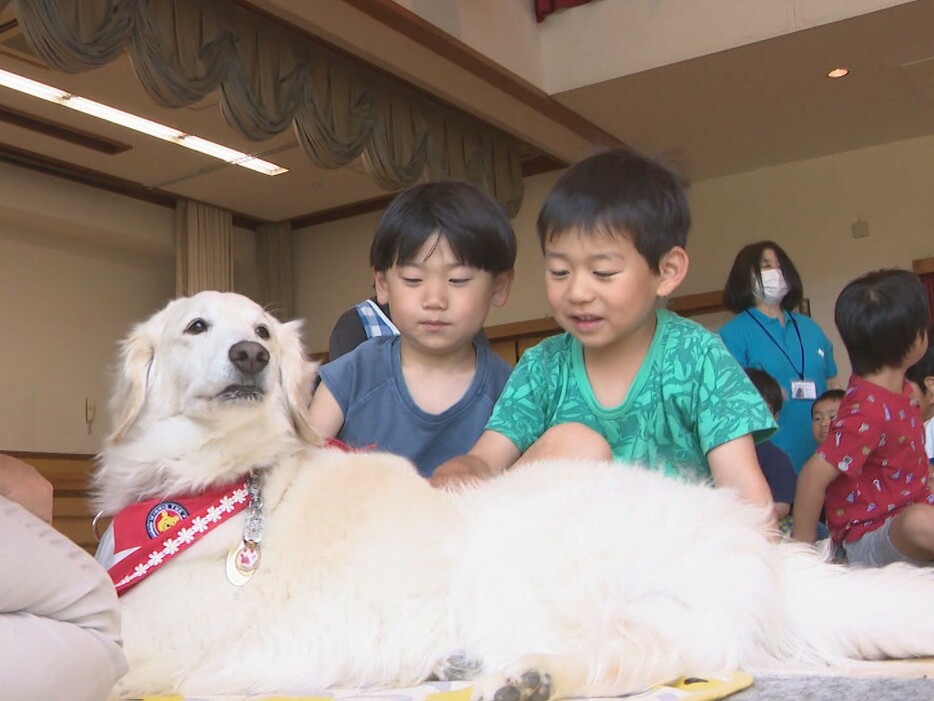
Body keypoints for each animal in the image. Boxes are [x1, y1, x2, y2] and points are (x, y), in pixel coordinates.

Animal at [97, 292, 934, 700]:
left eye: (264, 329)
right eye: (195, 326)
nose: (252, 354)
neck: (230, 476)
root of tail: (754, 536)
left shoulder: (165, 633)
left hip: (534, 560)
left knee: (648, 654)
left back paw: (532, 676)